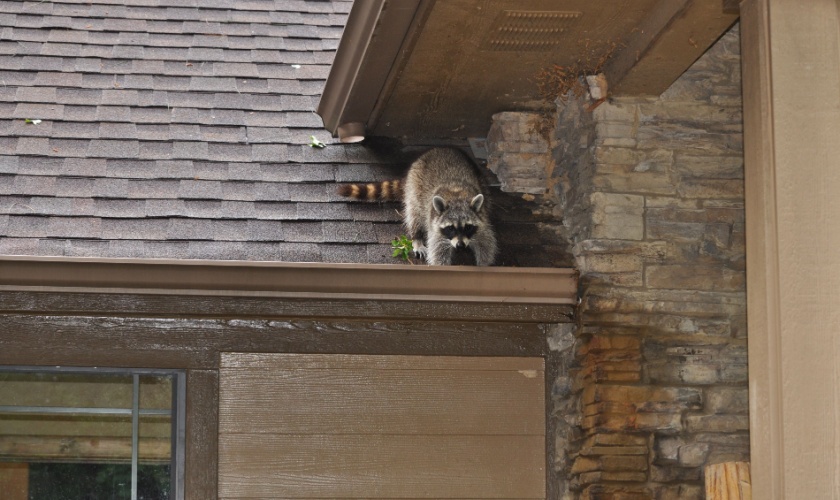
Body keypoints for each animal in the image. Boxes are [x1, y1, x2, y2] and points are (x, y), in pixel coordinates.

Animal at [338, 148, 498, 266]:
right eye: (450, 228)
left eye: (468, 227)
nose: (460, 245)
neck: (457, 196)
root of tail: (436, 150)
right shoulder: (435, 225)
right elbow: (438, 251)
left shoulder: (482, 221)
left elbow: (486, 243)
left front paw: (483, 265)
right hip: (414, 190)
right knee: (414, 215)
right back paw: (417, 238)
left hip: (481, 182)